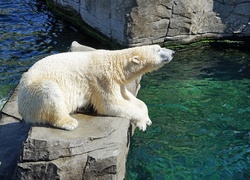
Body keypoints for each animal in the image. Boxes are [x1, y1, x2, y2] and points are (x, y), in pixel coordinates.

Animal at [18, 45, 174, 131]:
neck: (116, 64)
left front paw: (147, 118)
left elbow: (130, 99)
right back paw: (69, 122)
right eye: (158, 49)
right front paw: (142, 123)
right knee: (50, 92)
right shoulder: (102, 79)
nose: (173, 52)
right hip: (34, 91)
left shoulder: (118, 83)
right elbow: (110, 104)